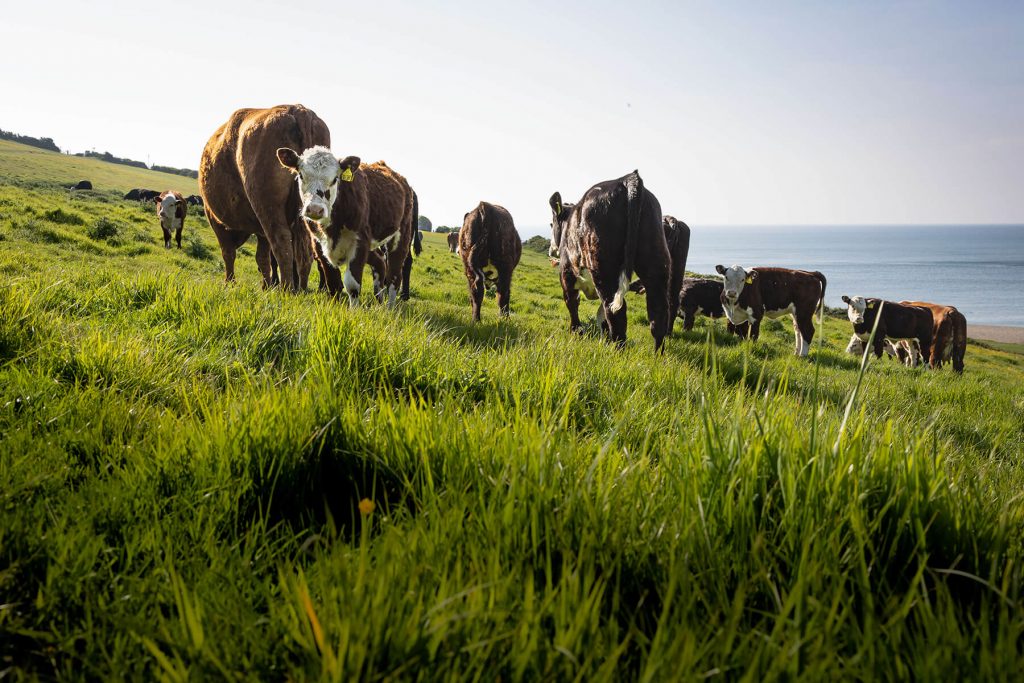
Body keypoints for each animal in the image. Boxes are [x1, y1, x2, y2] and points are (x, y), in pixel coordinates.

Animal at [199, 104, 330, 291]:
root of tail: (297, 109)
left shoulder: (215, 219)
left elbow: (229, 253)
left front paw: (230, 282)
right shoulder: (260, 230)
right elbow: (262, 257)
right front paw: (265, 286)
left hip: (268, 209)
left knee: (282, 244)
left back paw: (287, 289)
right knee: (305, 250)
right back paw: (301, 289)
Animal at [276, 146, 416, 307]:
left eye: (335, 179)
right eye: (301, 175)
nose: (315, 209)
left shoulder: (359, 242)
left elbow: (352, 285)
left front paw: (354, 311)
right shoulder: (319, 244)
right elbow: (332, 283)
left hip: (401, 237)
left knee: (394, 276)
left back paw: (390, 308)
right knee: (380, 262)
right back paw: (379, 301)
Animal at [549, 170, 670, 351]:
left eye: (551, 224)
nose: (551, 249)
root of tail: (626, 179)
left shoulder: (566, 274)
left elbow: (572, 305)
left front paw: (576, 334)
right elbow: (602, 319)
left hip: (603, 267)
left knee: (614, 311)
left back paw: (617, 351)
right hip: (654, 258)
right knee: (658, 312)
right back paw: (657, 355)